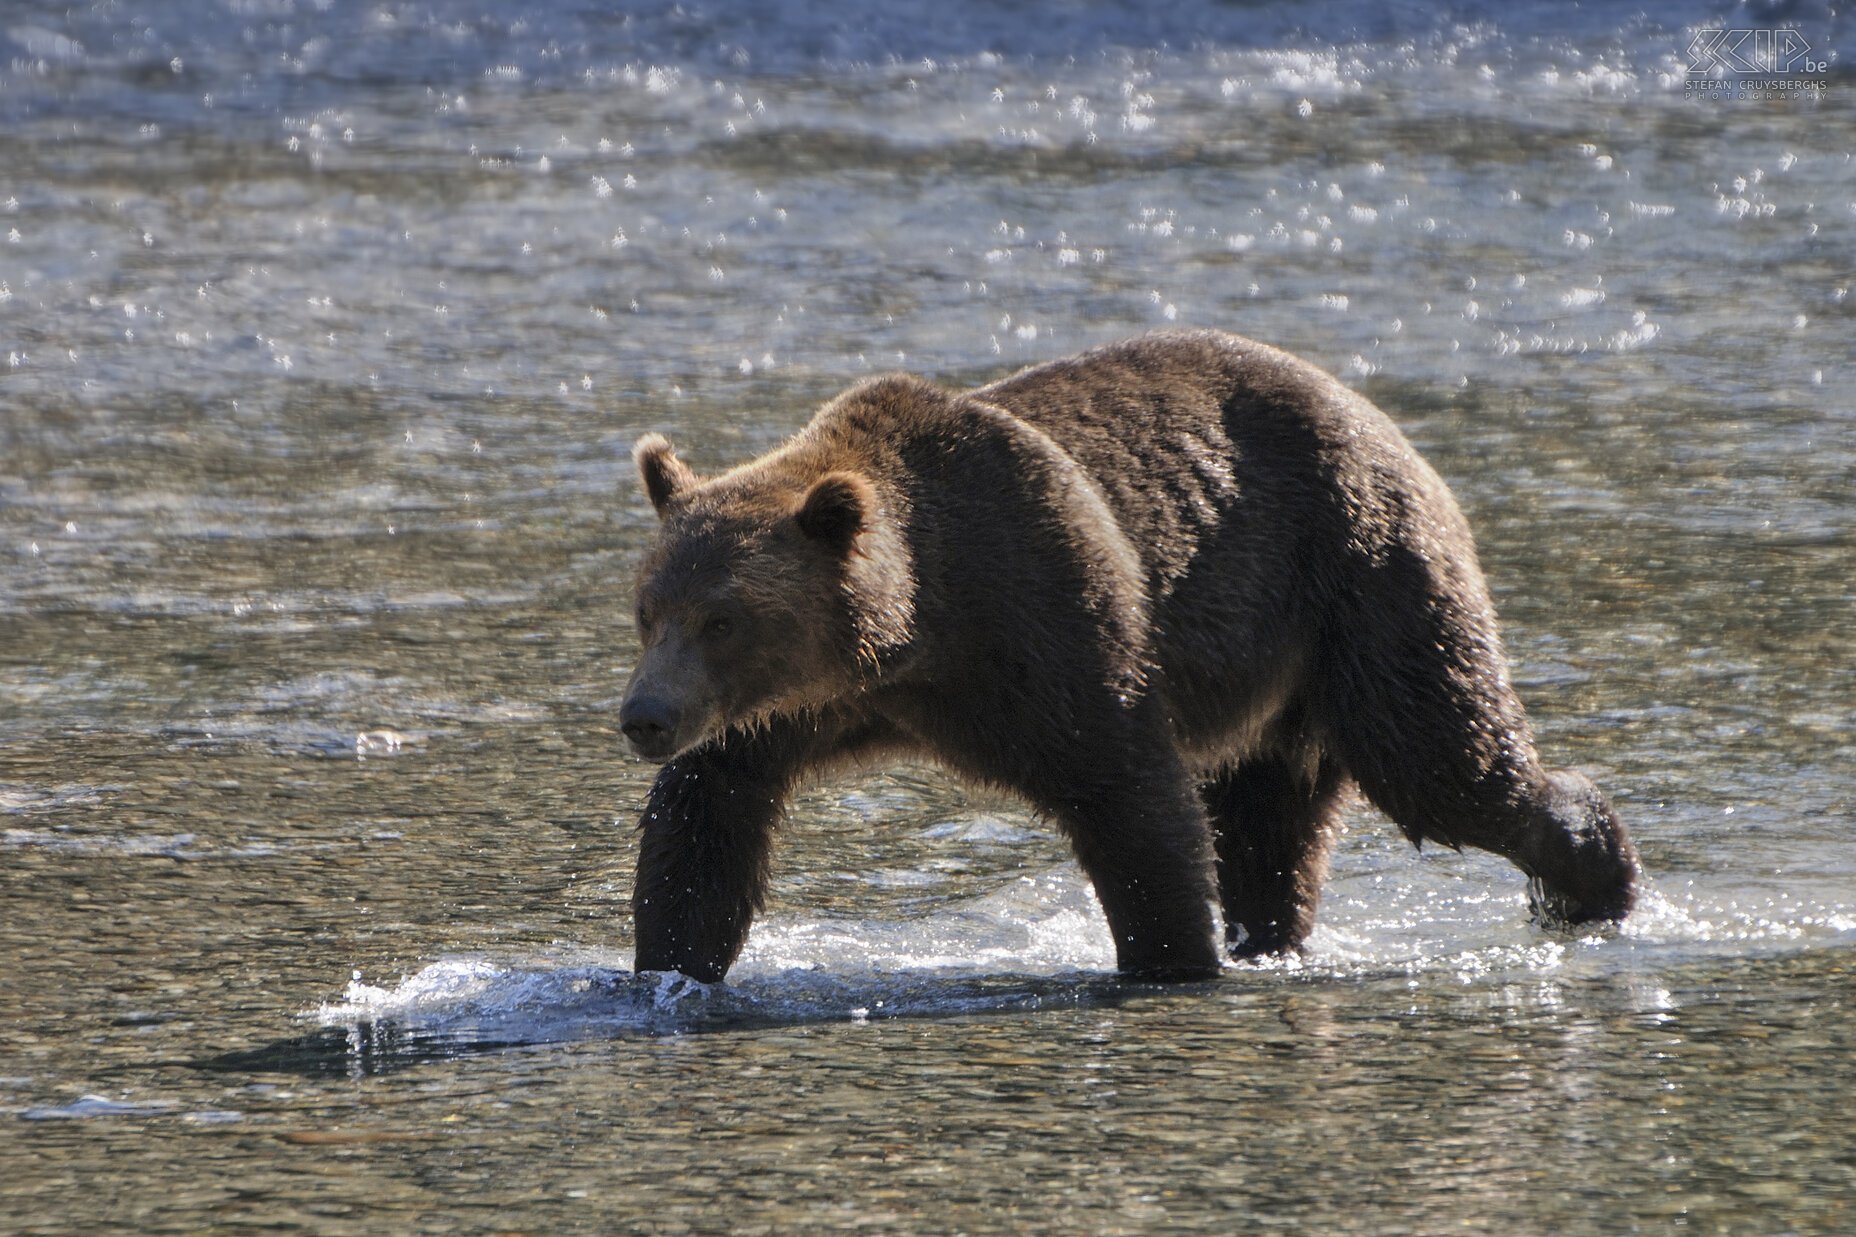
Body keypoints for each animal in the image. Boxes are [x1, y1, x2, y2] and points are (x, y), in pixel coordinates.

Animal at [623, 330, 1640, 980]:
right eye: (648, 611)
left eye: (723, 619)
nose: (644, 717)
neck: (915, 630)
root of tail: (1385, 422)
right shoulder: (785, 712)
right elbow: (707, 814)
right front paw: (666, 964)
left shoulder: (1043, 615)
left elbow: (1125, 787)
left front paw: (1169, 955)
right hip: (1283, 668)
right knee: (1272, 820)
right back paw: (1272, 936)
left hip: (1362, 570)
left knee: (1438, 756)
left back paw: (1599, 874)